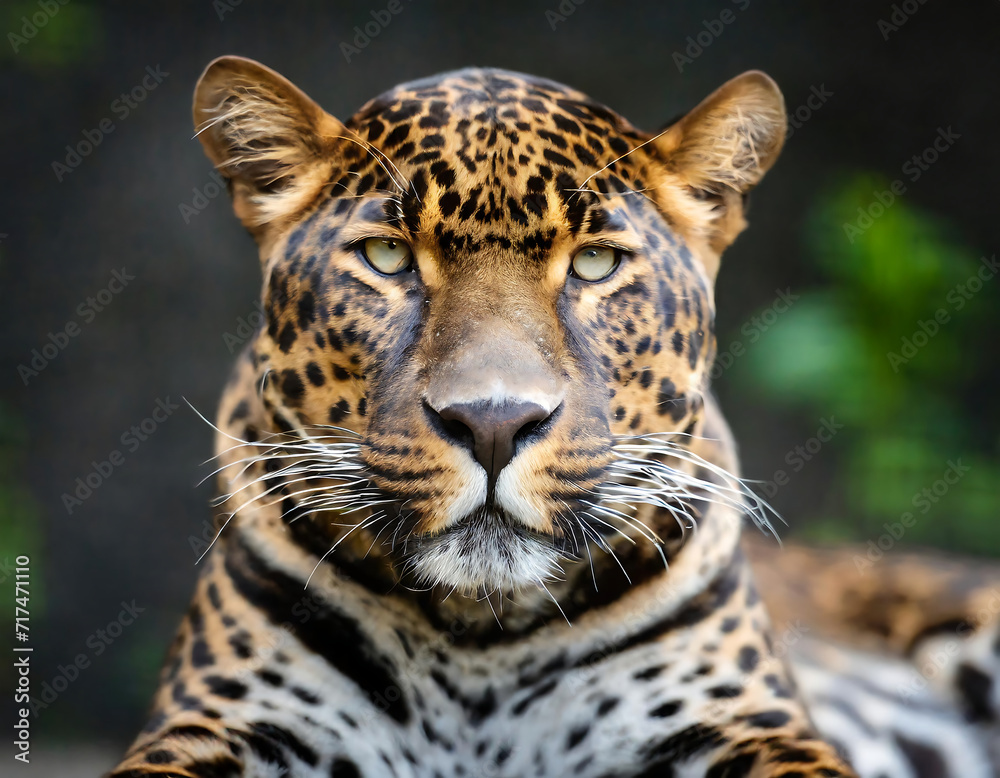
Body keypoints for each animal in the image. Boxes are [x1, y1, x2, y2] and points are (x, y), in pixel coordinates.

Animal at [108, 57, 1000, 778]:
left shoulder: (749, 725)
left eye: (596, 264)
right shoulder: (217, 722)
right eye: (387, 257)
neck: (480, 638)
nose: (494, 422)